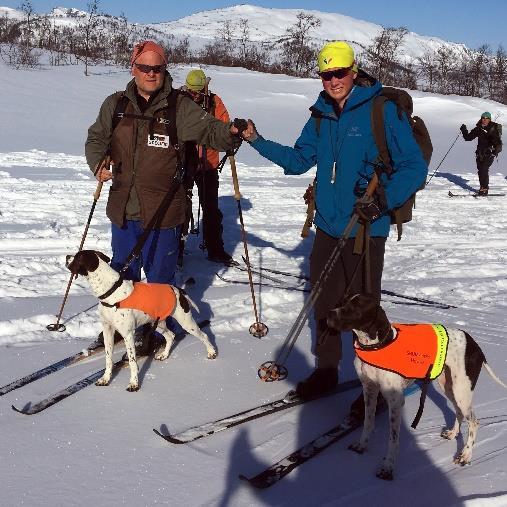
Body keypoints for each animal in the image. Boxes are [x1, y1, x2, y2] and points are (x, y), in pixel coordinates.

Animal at [65, 250, 216, 392]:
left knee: (203, 335)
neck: (110, 292)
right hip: (158, 323)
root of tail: (177, 289)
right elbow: (108, 359)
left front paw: (134, 384)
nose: (67, 256)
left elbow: (132, 362)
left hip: (186, 322)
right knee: (171, 336)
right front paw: (105, 379)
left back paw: (211, 353)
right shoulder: (108, 331)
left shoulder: (128, 335)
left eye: (76, 257)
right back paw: (164, 355)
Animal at [328, 294, 506, 480]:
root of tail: (475, 346)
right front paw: (362, 445)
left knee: (474, 422)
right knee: (459, 413)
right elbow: (368, 423)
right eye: (342, 302)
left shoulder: (396, 401)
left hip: (461, 392)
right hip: (449, 387)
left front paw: (387, 467)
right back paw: (452, 434)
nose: (329, 315)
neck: (374, 347)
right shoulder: (369, 391)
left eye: (356, 307)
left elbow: (393, 439)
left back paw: (465, 455)